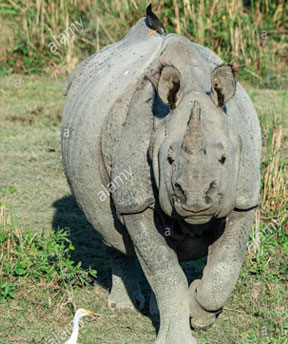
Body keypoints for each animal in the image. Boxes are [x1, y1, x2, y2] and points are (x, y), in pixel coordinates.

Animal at [60, 16, 260, 344]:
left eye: (223, 159)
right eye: (168, 159)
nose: (195, 199)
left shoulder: (244, 200)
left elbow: (222, 274)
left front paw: (198, 308)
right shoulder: (136, 203)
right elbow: (166, 275)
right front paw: (179, 334)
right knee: (111, 231)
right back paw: (124, 307)